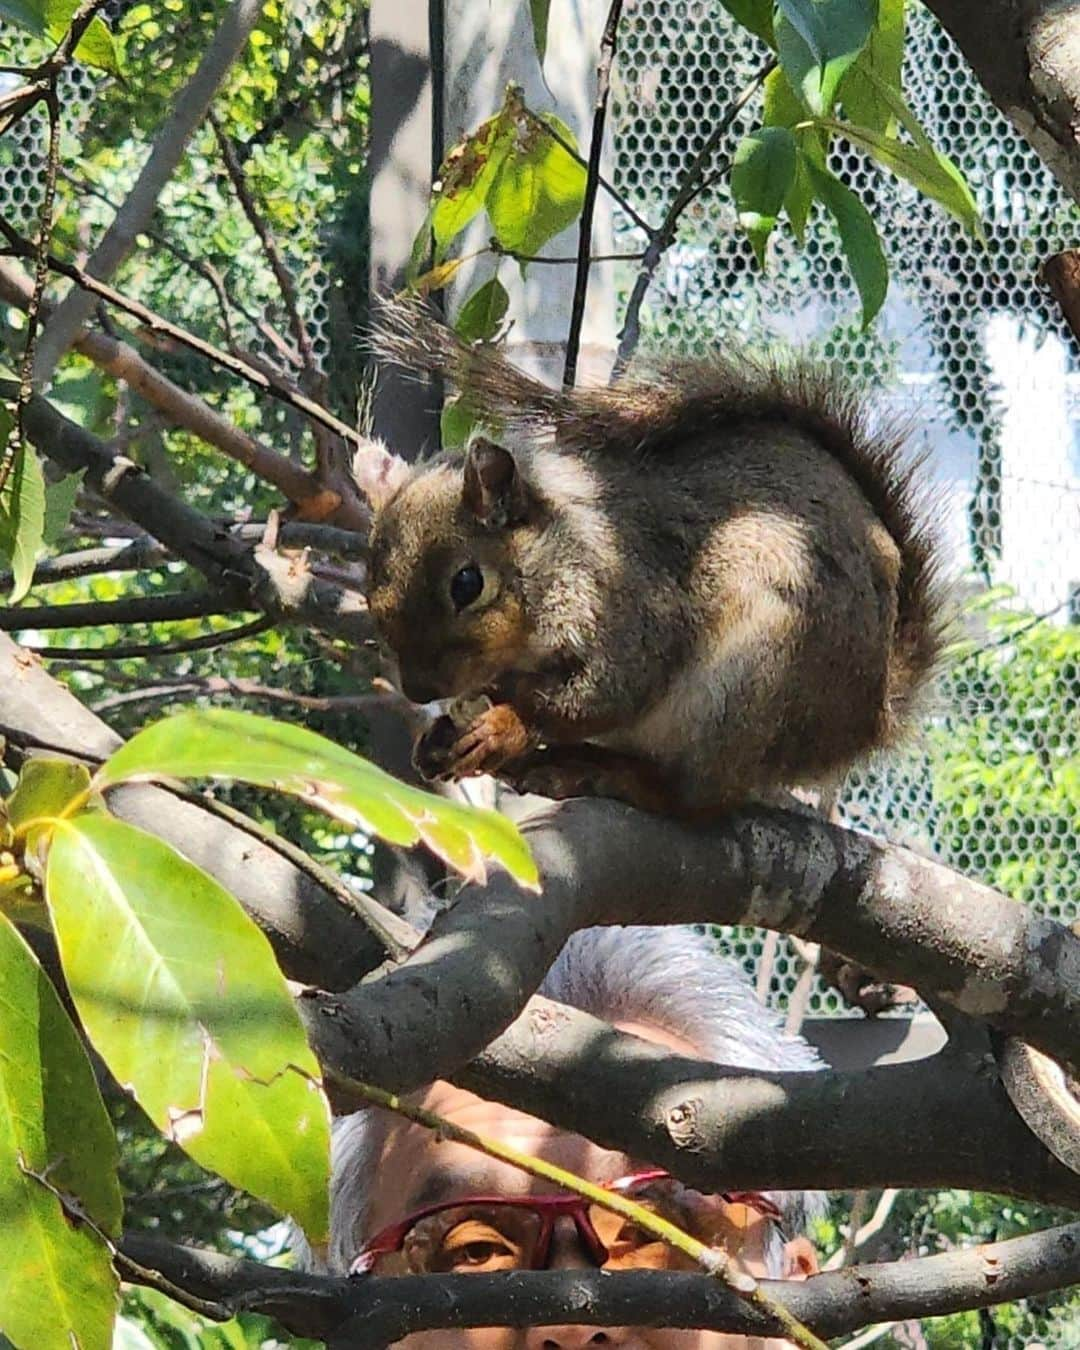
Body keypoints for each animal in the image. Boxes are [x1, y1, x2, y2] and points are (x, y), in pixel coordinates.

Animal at [356, 301, 945, 815]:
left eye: (467, 584)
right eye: (371, 592)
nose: (420, 690)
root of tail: (861, 722)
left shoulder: (634, 607)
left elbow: (606, 694)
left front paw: (505, 727)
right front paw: (441, 736)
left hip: (755, 674)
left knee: (696, 799)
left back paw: (606, 773)